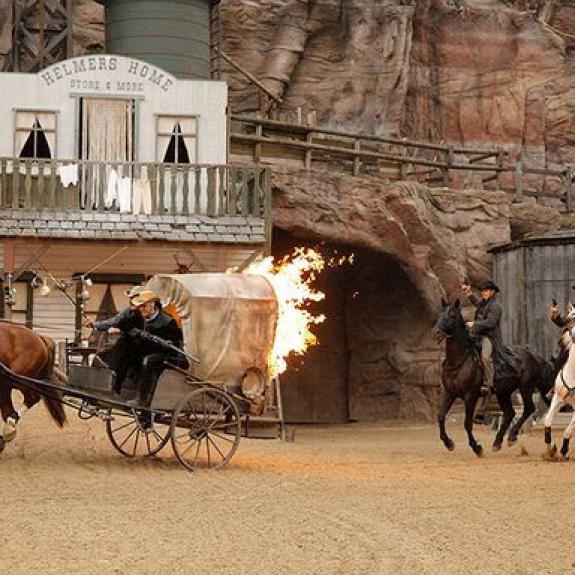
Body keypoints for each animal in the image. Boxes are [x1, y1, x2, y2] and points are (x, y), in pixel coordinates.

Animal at [0, 322, 67, 454]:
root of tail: (39, 337)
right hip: (8, 381)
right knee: (8, 410)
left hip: (17, 378)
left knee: (32, 398)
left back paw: (9, 427)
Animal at [433, 298, 551, 456]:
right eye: (440, 314)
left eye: (452, 315)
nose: (436, 333)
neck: (459, 360)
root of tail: (533, 355)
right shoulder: (449, 392)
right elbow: (441, 416)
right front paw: (448, 443)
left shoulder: (471, 396)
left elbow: (467, 423)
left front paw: (477, 448)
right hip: (503, 393)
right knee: (510, 413)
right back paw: (498, 442)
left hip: (525, 388)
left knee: (528, 409)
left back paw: (511, 436)